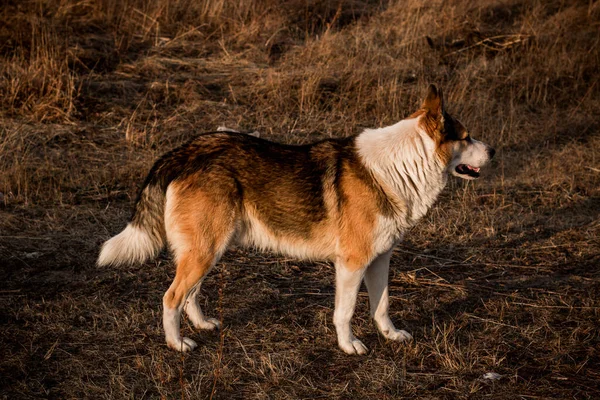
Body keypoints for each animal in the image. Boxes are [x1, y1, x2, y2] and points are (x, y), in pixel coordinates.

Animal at [97, 86, 492, 354]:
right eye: (466, 136)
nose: (494, 150)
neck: (400, 165)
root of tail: (187, 149)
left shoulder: (380, 260)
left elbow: (382, 306)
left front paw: (390, 336)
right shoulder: (351, 264)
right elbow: (345, 312)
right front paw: (349, 346)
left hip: (208, 250)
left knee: (188, 294)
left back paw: (202, 325)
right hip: (205, 250)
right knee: (171, 297)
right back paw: (177, 344)